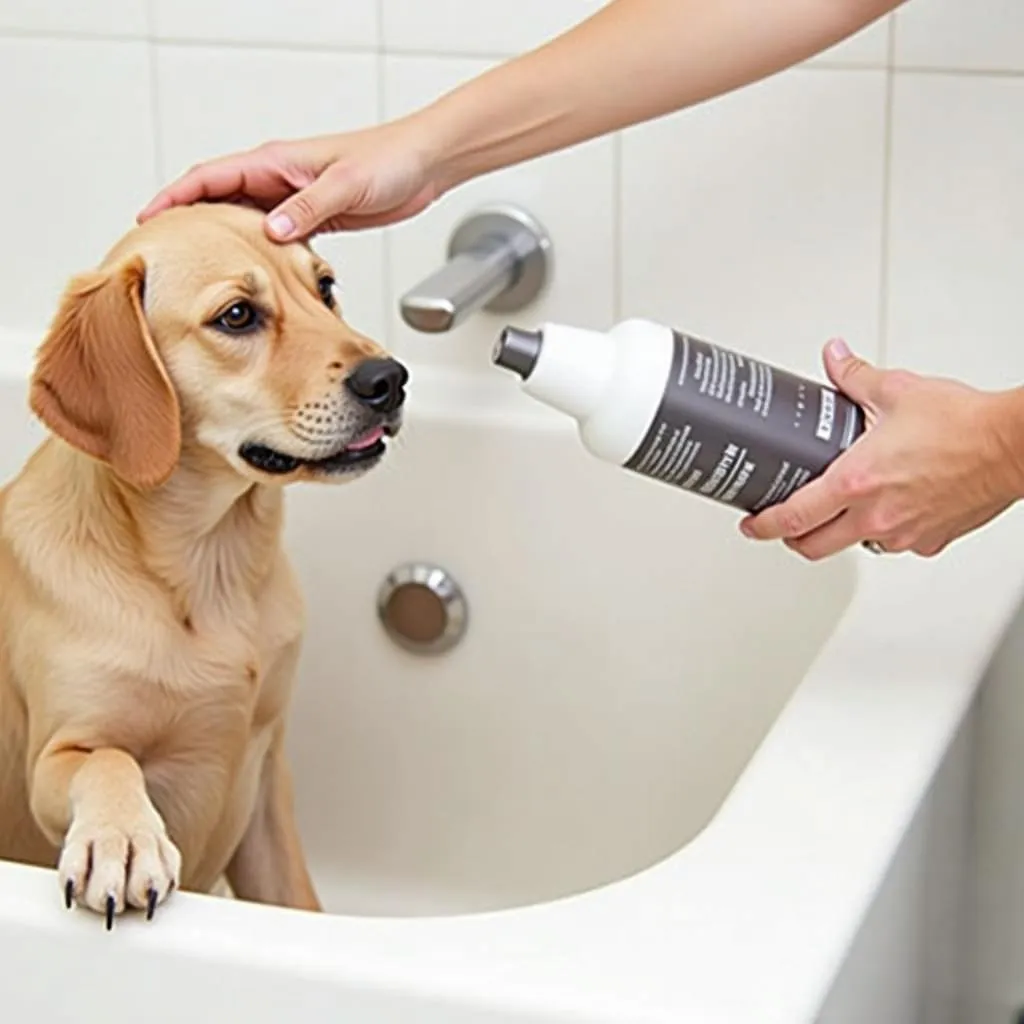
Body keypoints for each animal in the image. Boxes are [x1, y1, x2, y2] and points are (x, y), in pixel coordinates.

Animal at [0, 201, 405, 929]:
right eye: (237, 316)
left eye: (324, 287)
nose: (390, 380)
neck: (210, 570)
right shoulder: (52, 756)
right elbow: (106, 759)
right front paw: (122, 840)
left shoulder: (266, 780)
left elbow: (297, 898)